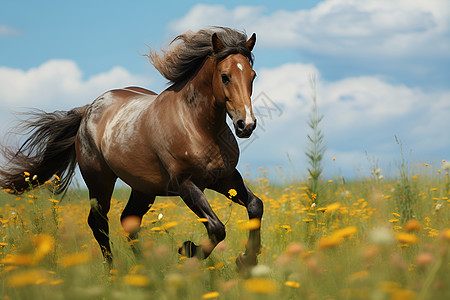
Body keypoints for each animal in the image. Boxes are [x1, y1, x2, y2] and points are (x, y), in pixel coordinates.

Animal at [0, 26, 262, 270]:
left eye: (252, 75)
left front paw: (246, 261)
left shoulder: (226, 178)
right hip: (100, 182)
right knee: (98, 222)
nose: (246, 124)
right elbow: (217, 228)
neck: (197, 126)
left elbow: (255, 206)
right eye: (225, 76)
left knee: (128, 221)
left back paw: (146, 269)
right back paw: (114, 271)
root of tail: (89, 110)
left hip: (144, 189)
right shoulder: (186, 184)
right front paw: (187, 249)